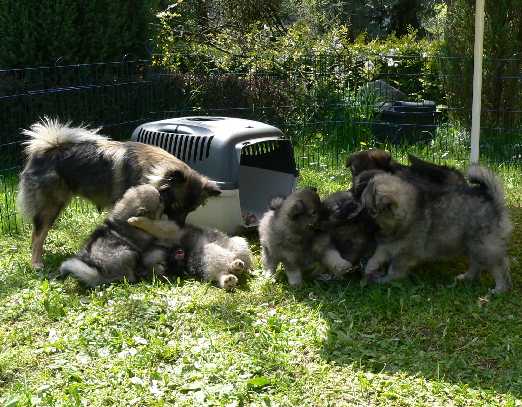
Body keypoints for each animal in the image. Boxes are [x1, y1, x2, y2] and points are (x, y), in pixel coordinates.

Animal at [16, 118, 219, 270]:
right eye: (176, 206)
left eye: (191, 210)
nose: (180, 227)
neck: (152, 170)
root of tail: (46, 148)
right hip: (51, 207)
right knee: (38, 235)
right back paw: (36, 263)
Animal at [360, 166, 510, 294]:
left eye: (372, 212)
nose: (360, 216)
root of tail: (492, 200)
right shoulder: (388, 244)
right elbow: (378, 255)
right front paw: (370, 268)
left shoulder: (404, 254)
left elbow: (394, 269)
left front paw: (386, 280)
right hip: (472, 245)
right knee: (476, 264)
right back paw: (467, 277)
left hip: (484, 246)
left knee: (499, 267)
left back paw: (500, 289)